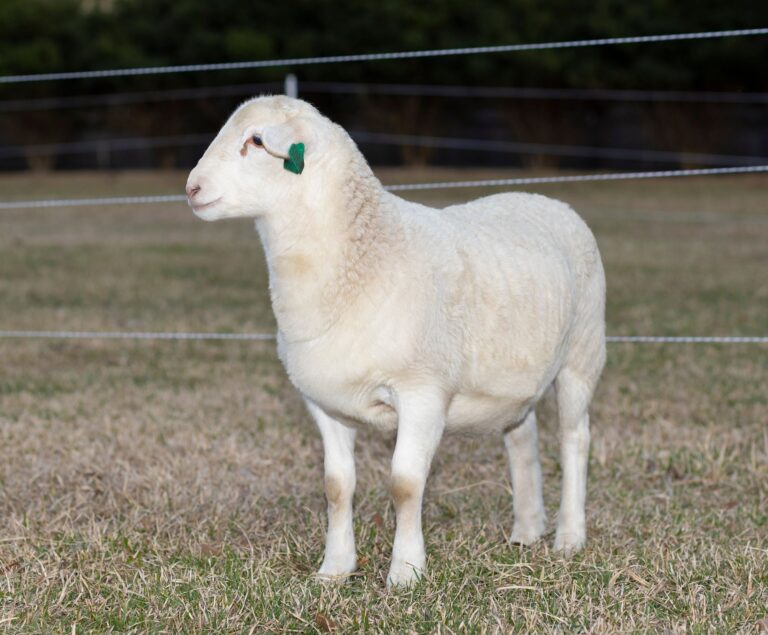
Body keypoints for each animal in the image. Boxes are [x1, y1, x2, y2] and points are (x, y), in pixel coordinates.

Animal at [186, 95, 606, 588]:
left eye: (255, 140)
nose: (192, 188)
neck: (364, 255)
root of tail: (546, 198)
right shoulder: (324, 401)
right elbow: (336, 486)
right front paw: (335, 568)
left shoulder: (423, 391)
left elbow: (405, 483)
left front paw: (406, 571)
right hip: (513, 381)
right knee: (523, 439)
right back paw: (526, 530)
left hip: (582, 353)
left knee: (574, 439)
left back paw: (569, 536)